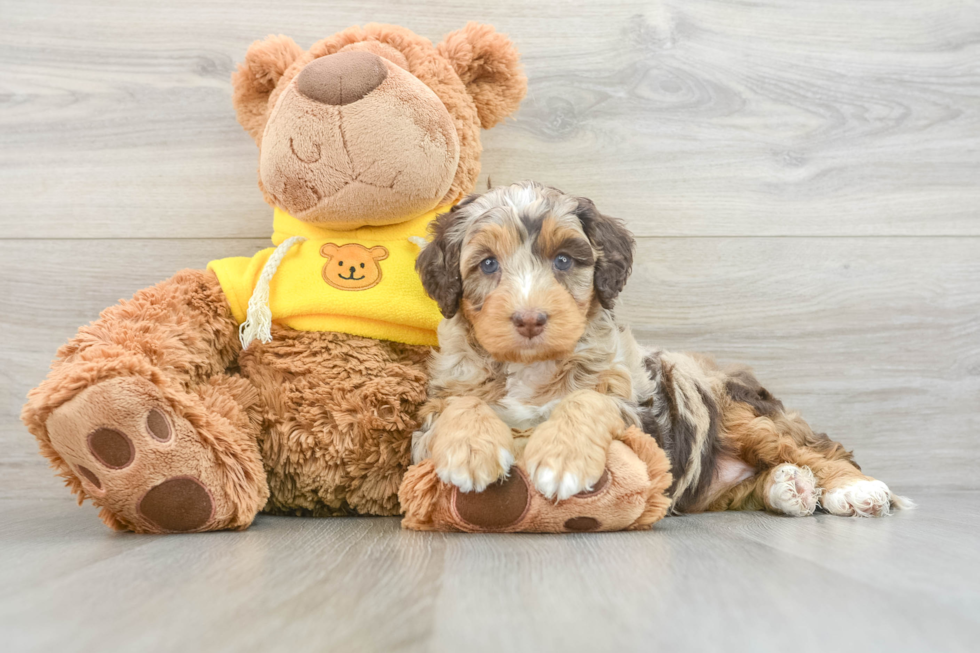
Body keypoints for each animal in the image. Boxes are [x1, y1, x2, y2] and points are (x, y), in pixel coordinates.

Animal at [410, 180, 908, 516]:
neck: (531, 368)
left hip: (744, 413)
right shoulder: (431, 417)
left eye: (564, 260)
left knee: (817, 448)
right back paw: (789, 489)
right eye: (487, 264)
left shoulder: (637, 412)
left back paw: (854, 489)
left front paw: (562, 458)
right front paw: (470, 453)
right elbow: (460, 405)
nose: (530, 319)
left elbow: (588, 399)